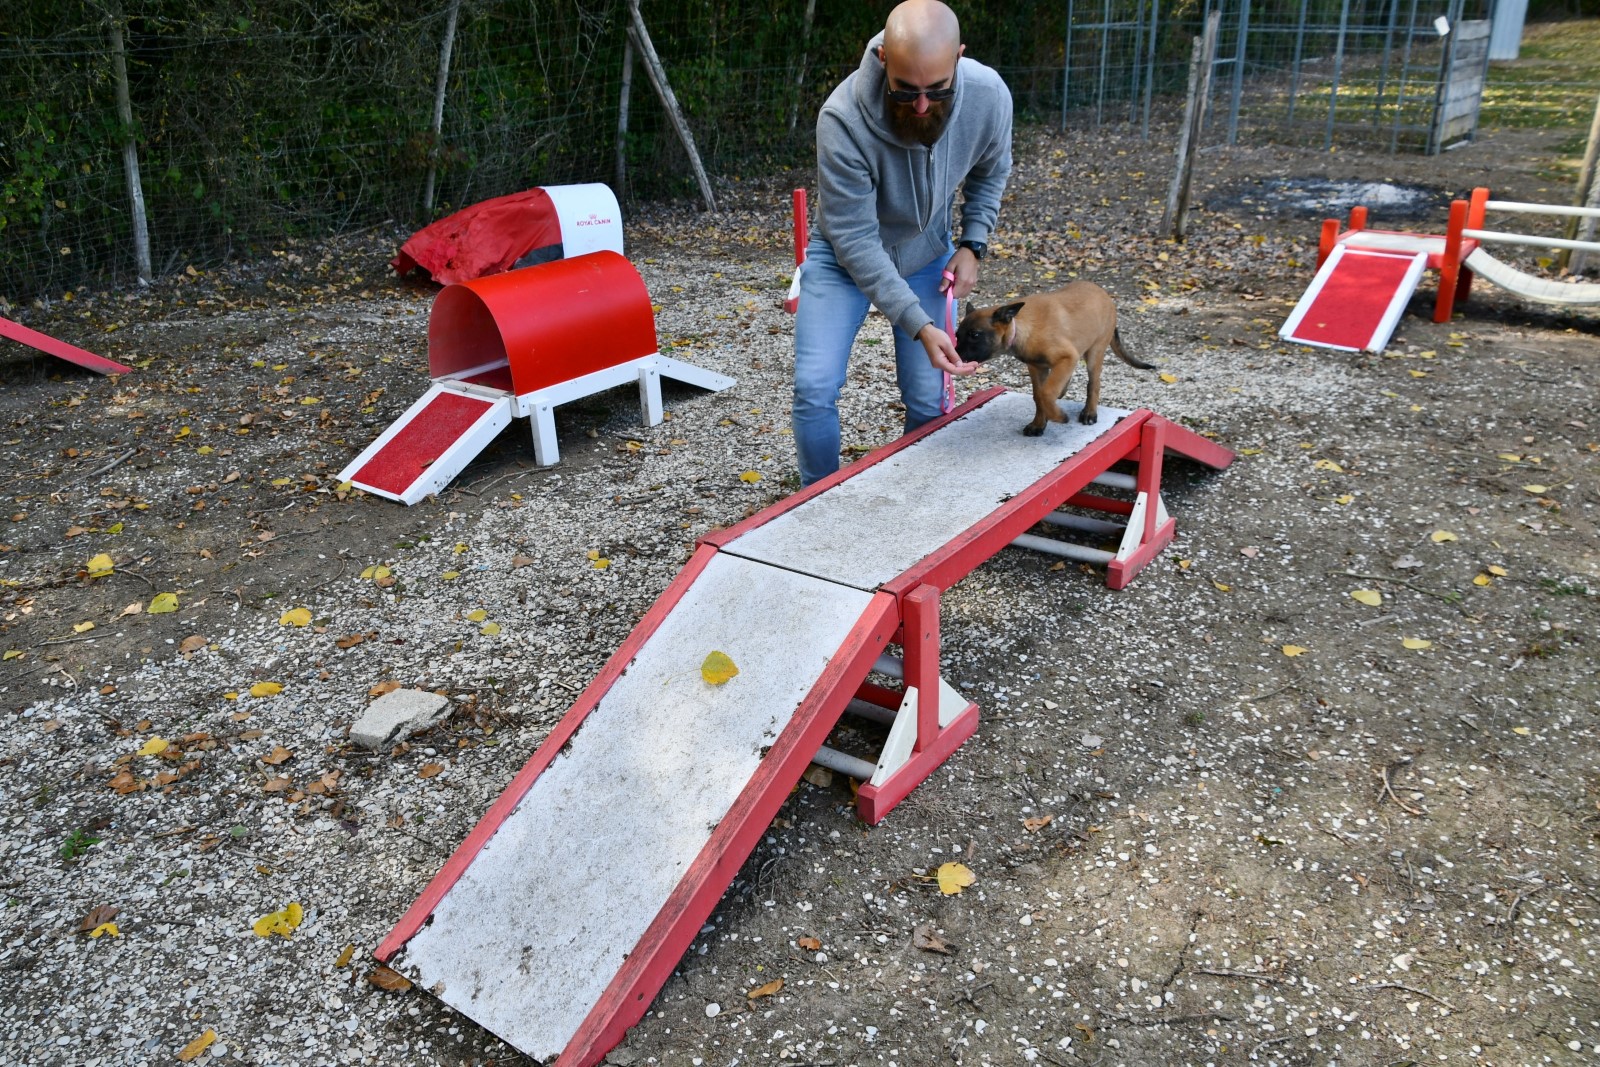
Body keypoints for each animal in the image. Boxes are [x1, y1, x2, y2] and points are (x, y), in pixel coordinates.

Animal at [954, 281, 1154, 435]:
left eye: (975, 335)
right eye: (957, 335)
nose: (956, 355)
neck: (1022, 328)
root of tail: (1104, 293)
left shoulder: (1067, 356)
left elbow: (1047, 392)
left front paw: (1057, 416)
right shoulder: (1037, 367)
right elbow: (1039, 395)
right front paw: (1038, 424)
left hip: (1095, 352)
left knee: (1094, 383)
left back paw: (1089, 412)